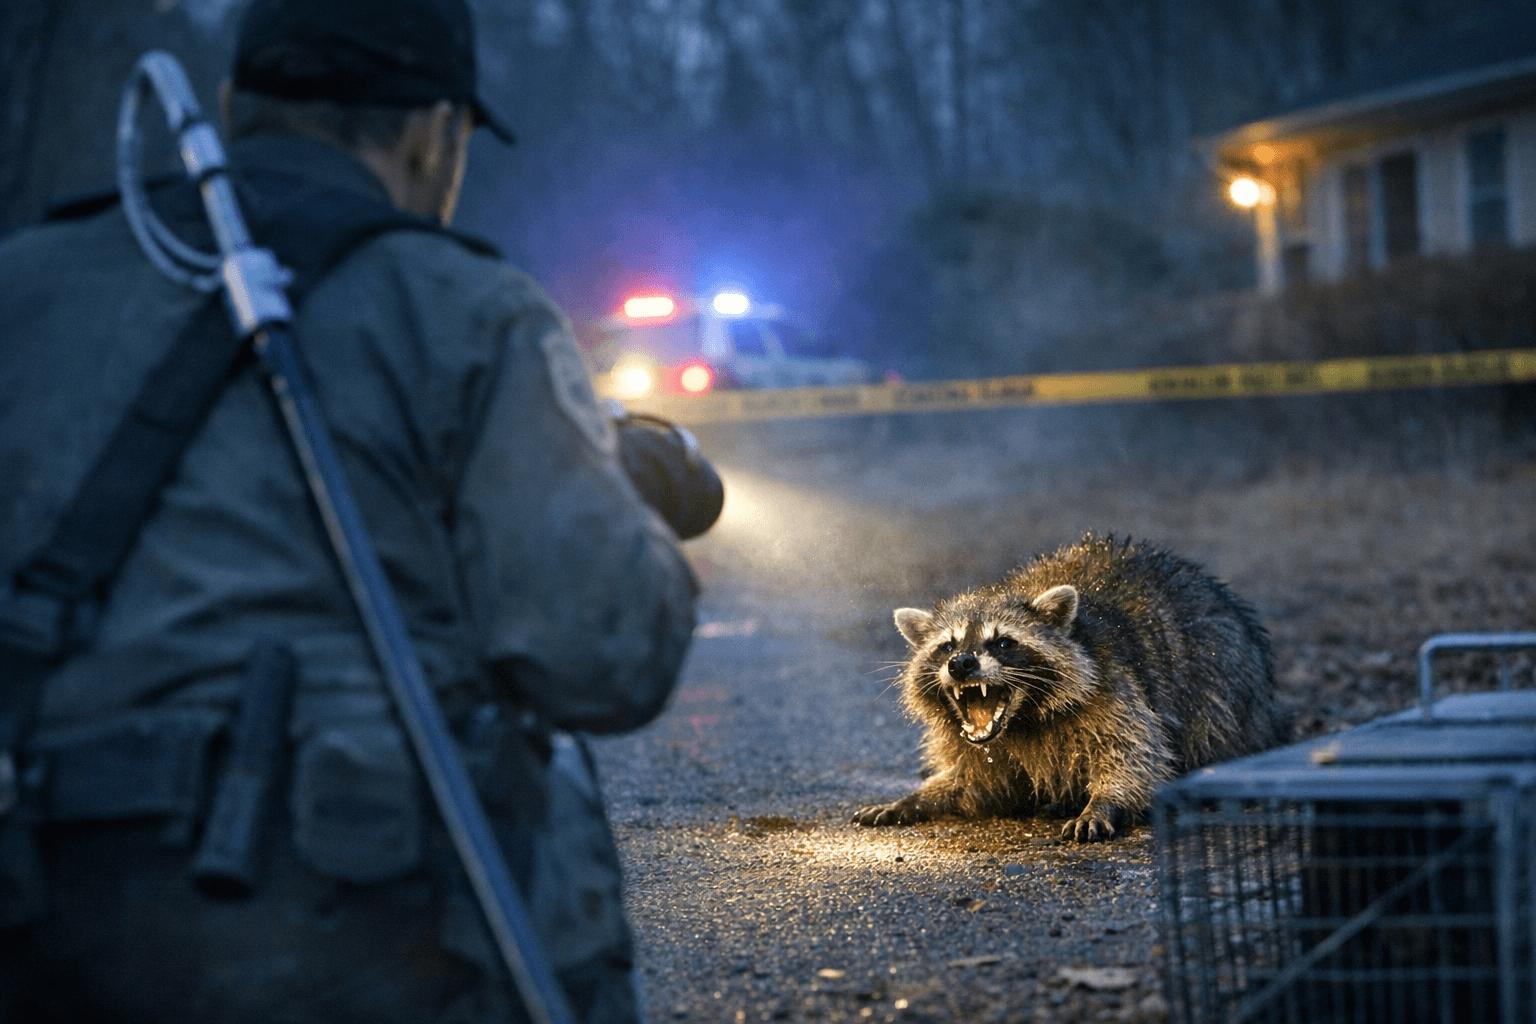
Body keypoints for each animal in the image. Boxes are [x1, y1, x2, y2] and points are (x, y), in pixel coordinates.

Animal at [853, 533, 1287, 842]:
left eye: (1002, 643)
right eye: (947, 645)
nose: (961, 664)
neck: (1020, 721)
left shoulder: (1113, 689)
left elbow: (1134, 755)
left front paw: (1106, 802)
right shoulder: (973, 743)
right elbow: (977, 781)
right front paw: (917, 796)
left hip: (1223, 680)